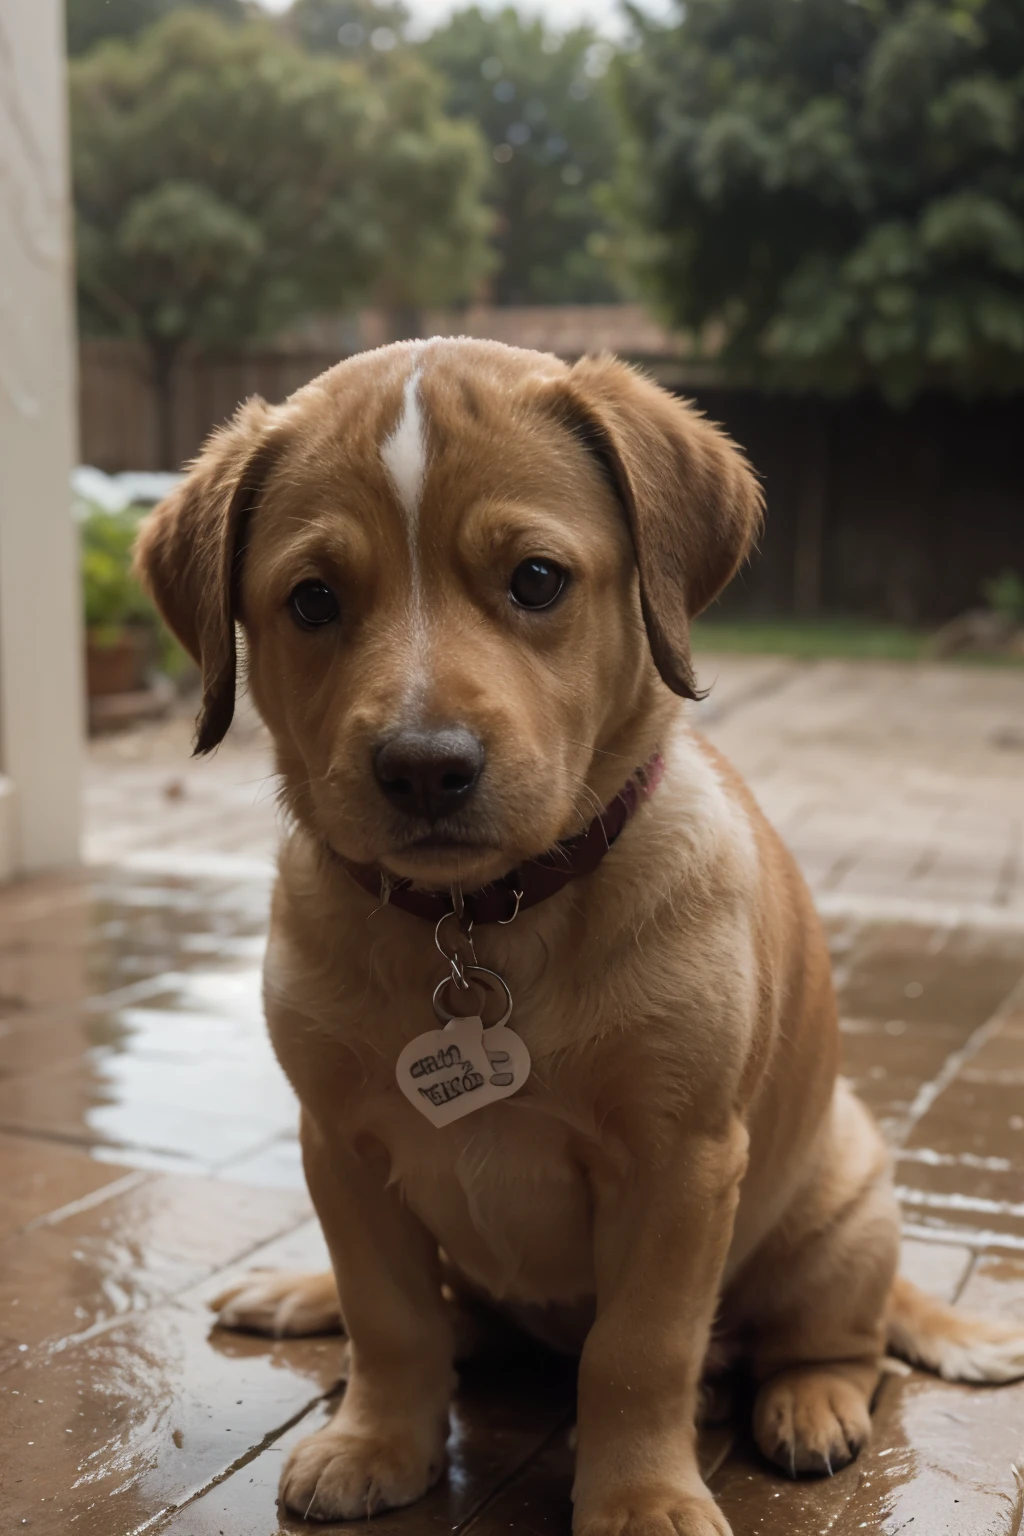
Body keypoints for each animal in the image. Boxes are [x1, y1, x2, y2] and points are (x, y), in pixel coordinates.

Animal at [138, 342, 1024, 1536]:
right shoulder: (342, 1149)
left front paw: (640, 1498)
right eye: (312, 600)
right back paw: (298, 1291)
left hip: (841, 1212)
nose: (424, 767)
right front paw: (380, 1441)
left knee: (841, 1340)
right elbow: (391, 1320)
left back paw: (809, 1404)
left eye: (537, 581)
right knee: (450, 1315)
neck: (476, 921)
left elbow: (637, 1353)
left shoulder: (678, 1165)